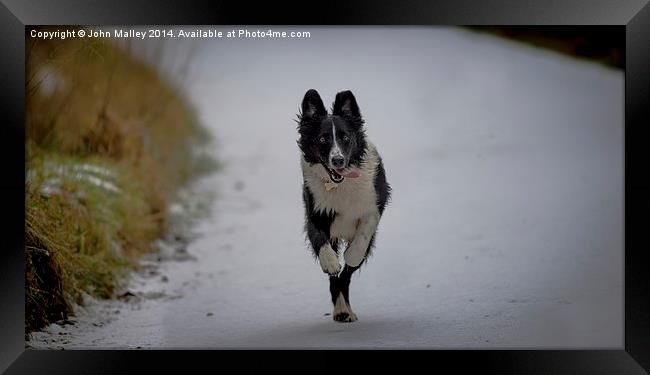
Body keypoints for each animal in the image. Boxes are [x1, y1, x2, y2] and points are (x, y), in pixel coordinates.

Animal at [294, 89, 390, 324]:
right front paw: (330, 262)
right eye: (322, 139)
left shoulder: (373, 205)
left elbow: (362, 236)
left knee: (346, 276)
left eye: (345, 138)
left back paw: (345, 309)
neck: (340, 184)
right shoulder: (315, 212)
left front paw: (351, 255)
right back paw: (341, 310)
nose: (337, 160)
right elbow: (319, 240)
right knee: (336, 279)